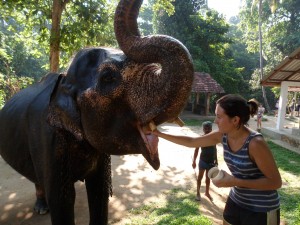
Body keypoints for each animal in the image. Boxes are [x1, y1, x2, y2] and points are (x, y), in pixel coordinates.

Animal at [0, 0, 193, 225]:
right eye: (108, 77)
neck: (64, 80)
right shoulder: (47, 138)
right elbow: (62, 200)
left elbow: (99, 190)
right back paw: (41, 208)